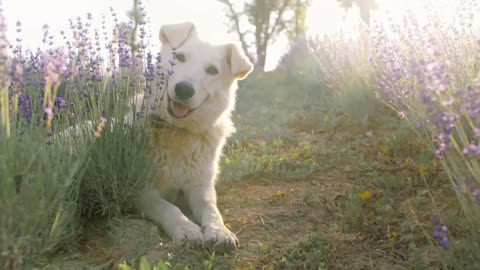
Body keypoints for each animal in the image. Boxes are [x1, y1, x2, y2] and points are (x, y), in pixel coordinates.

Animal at [136, 21, 251, 253]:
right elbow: (167, 206)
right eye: (179, 57)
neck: (177, 132)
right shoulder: (140, 191)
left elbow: (212, 210)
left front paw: (220, 231)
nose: (184, 89)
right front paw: (186, 228)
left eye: (212, 70)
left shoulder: (201, 187)